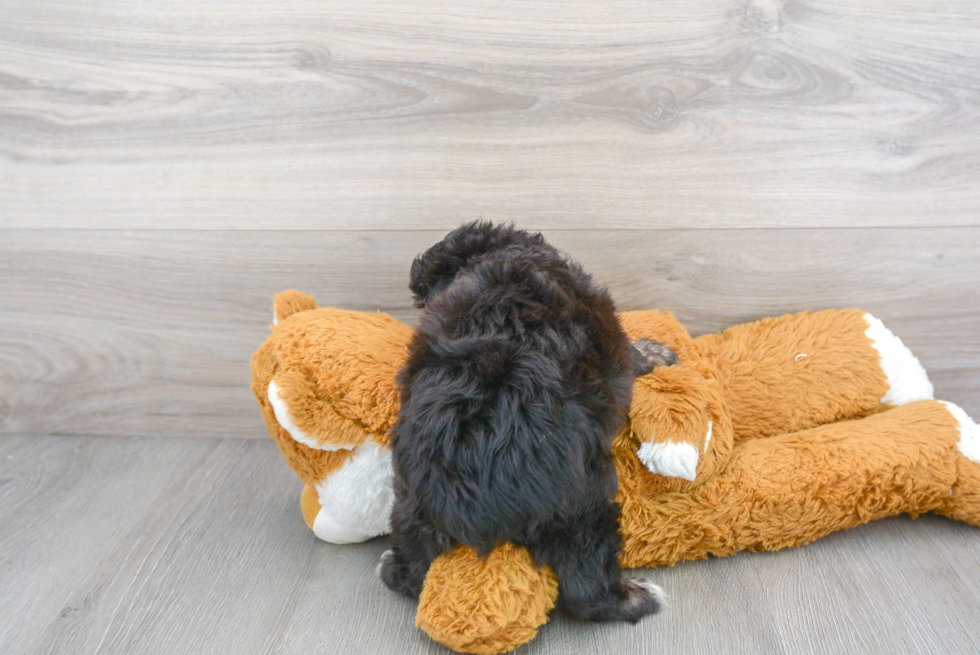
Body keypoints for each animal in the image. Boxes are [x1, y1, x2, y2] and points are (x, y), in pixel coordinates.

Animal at [380, 222, 672, 624]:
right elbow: (633, 352)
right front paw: (657, 353)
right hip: (582, 499)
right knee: (584, 585)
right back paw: (638, 596)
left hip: (411, 501)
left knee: (413, 568)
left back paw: (391, 567)